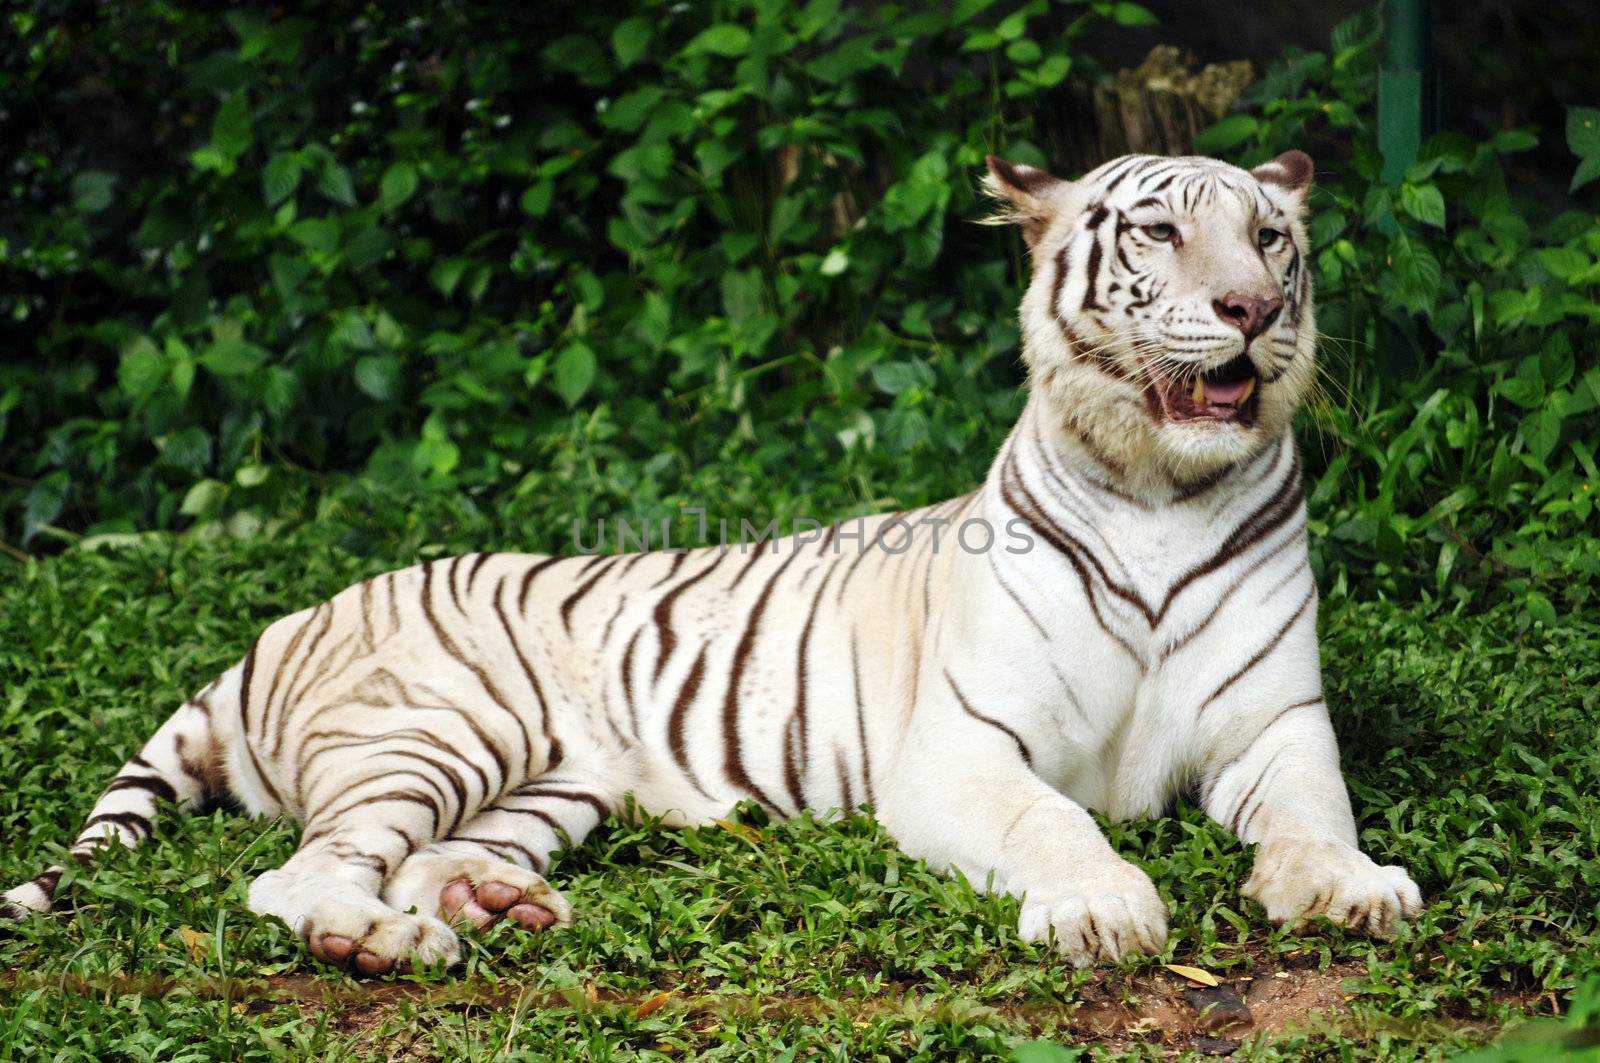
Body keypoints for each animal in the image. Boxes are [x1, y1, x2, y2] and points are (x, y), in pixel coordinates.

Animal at [6, 149, 1420, 973]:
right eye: (1158, 236)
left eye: (1271, 238)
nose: (1250, 308)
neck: (1156, 491)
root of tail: (279, 624)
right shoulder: (963, 747)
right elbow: (1053, 818)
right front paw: (1103, 909)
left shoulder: (1277, 723)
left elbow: (1315, 813)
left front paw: (1352, 890)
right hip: (434, 728)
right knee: (299, 873)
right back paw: (384, 943)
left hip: (542, 785)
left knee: (417, 855)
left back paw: (494, 912)